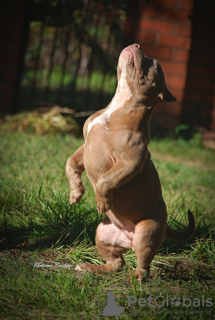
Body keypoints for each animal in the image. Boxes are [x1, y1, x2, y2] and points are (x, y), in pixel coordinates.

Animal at [65, 43, 195, 282]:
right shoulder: (84, 146)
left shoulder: (131, 162)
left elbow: (106, 180)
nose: (137, 45)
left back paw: (134, 279)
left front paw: (102, 200)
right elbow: (70, 164)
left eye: (153, 64)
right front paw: (75, 193)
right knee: (117, 262)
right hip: (103, 233)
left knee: (144, 265)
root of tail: (128, 238)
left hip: (147, 232)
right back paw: (93, 268)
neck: (121, 102)